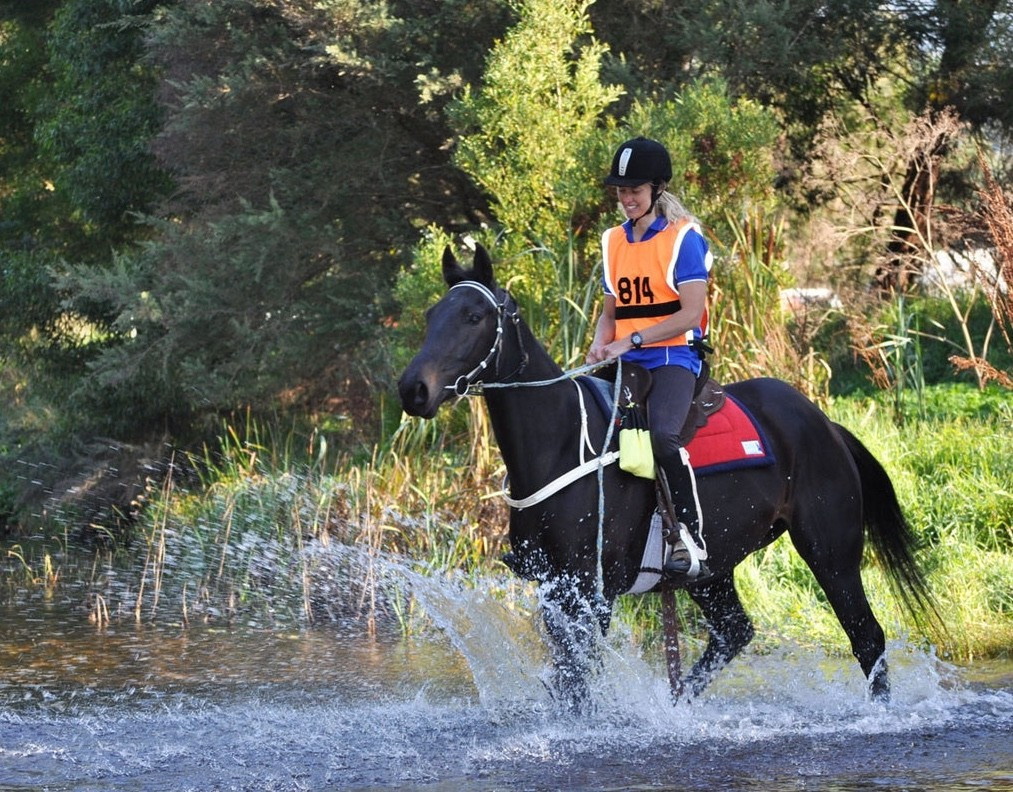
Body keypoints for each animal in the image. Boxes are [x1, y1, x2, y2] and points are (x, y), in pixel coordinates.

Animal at [399, 245, 936, 708]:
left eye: (474, 317)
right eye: (431, 316)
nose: (413, 389)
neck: (562, 441)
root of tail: (824, 424)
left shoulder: (592, 593)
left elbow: (577, 681)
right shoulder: (554, 590)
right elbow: (567, 680)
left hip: (831, 554)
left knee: (866, 637)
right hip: (713, 571)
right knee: (735, 632)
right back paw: (675, 706)